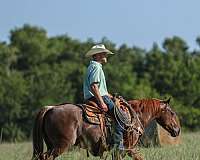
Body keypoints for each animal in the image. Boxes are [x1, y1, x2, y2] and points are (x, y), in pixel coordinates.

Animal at [32, 97, 180, 160]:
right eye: (172, 113)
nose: (177, 130)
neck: (134, 116)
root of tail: (50, 108)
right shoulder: (127, 148)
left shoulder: (121, 150)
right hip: (61, 145)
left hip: (52, 145)